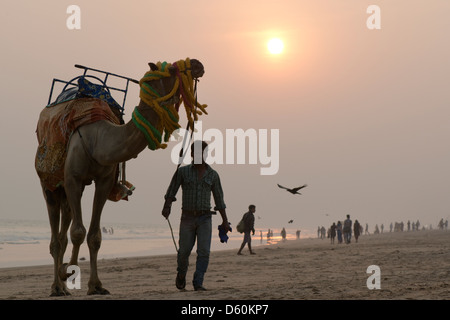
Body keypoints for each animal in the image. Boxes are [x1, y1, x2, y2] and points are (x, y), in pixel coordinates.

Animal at [35, 58, 206, 296]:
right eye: (171, 69)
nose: (198, 64)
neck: (98, 140)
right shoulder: (73, 178)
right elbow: (78, 232)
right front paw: (67, 272)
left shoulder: (104, 181)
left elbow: (95, 236)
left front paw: (96, 286)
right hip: (49, 181)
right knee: (55, 235)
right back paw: (57, 287)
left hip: (67, 189)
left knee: (64, 225)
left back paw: (64, 282)